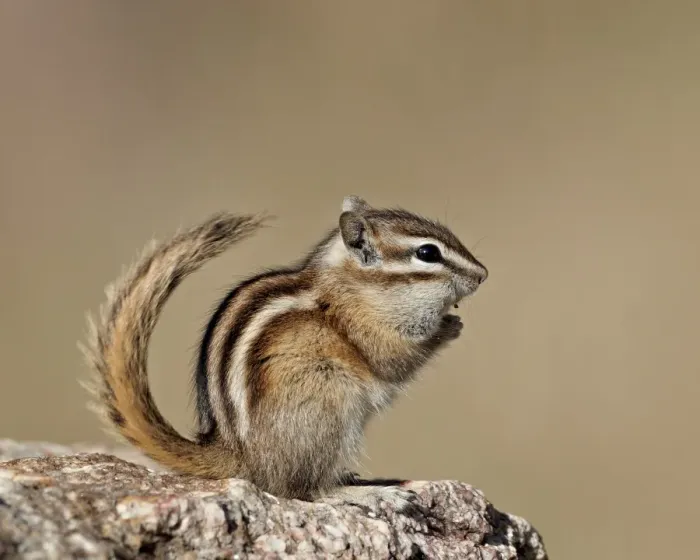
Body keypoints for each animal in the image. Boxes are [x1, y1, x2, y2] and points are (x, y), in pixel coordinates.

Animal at [80, 195, 487, 511]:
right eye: (427, 253)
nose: (482, 274)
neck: (353, 285)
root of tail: (241, 455)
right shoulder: (367, 330)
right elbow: (394, 358)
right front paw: (448, 327)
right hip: (328, 404)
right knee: (301, 489)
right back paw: (365, 492)